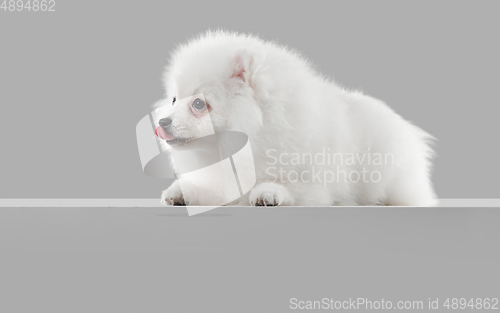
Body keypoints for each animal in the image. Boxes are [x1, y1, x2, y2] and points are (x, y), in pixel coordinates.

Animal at [157, 30, 438, 206]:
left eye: (198, 104)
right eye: (174, 100)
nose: (162, 122)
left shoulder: (314, 183)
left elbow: (289, 185)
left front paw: (268, 192)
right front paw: (179, 191)